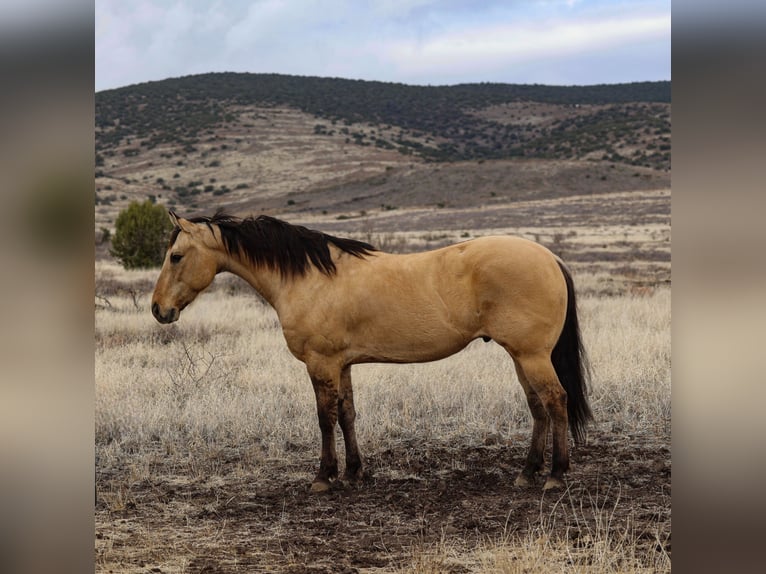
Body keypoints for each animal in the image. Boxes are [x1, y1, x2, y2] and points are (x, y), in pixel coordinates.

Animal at [152, 212, 592, 496]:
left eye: (176, 256)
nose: (159, 310)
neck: (309, 279)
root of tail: (549, 257)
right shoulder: (342, 364)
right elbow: (347, 414)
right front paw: (353, 472)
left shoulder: (321, 363)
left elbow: (325, 418)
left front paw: (324, 477)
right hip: (521, 357)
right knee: (537, 406)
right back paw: (527, 472)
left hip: (532, 356)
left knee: (556, 401)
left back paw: (555, 475)